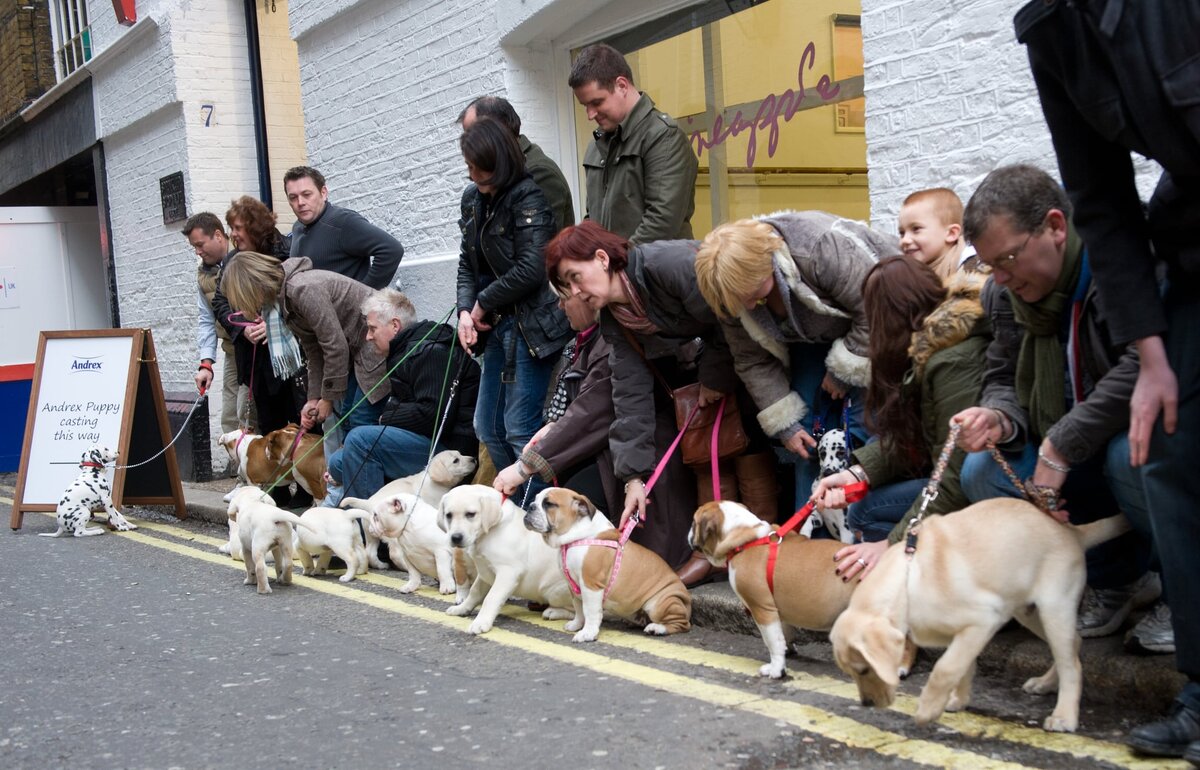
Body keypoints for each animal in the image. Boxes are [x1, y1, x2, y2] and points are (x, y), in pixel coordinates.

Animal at [439, 482, 573, 633]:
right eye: (448, 515)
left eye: (470, 514)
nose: (456, 537)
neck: (490, 531)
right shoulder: (485, 572)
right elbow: (474, 591)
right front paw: (462, 608)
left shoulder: (508, 572)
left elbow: (491, 597)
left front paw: (481, 622)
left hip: (553, 590)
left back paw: (554, 612)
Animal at [528, 484, 696, 642]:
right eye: (535, 499)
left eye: (549, 504)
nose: (530, 506)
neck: (576, 536)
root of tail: (687, 602)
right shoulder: (574, 587)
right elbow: (579, 608)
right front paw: (576, 625)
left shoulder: (591, 585)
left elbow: (590, 611)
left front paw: (588, 633)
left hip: (659, 603)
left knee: (682, 624)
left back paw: (657, 628)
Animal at [691, 494, 859, 676]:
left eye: (693, 523)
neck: (746, 537)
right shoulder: (778, 608)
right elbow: (784, 634)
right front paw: (788, 650)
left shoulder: (762, 609)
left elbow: (773, 641)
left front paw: (776, 669)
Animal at [830, 494, 1128, 729]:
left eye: (864, 670)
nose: (867, 704)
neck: (909, 579)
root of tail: (1071, 531)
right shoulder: (958, 633)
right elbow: (964, 667)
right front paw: (957, 700)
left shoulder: (983, 621)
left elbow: (946, 668)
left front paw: (928, 709)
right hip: (1028, 612)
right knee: (1074, 643)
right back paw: (1044, 684)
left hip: (1055, 608)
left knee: (1072, 663)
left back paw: (1064, 716)